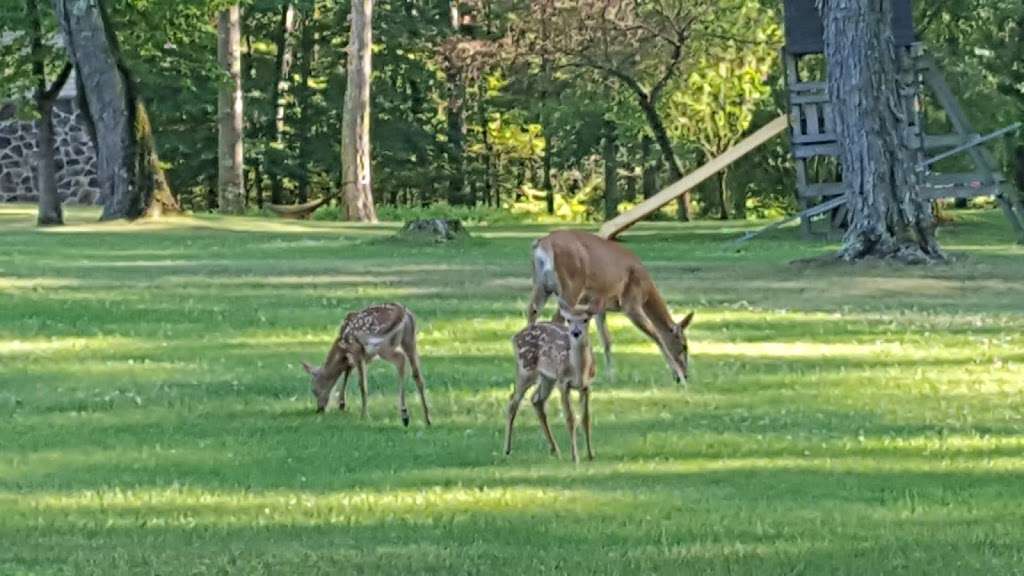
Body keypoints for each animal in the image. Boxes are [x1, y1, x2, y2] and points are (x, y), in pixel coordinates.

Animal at [303, 303, 432, 424]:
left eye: (314, 389)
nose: (319, 409)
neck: (341, 348)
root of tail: (404, 313)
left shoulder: (356, 349)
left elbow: (362, 384)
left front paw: (364, 415)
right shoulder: (363, 357)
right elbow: (348, 370)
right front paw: (342, 404)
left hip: (382, 343)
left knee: (400, 359)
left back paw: (405, 415)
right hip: (409, 340)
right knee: (417, 374)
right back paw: (427, 418)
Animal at [501, 315, 593, 463]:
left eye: (586, 320)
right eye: (568, 320)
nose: (575, 333)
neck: (579, 372)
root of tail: (515, 337)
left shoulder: (587, 386)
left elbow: (586, 419)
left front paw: (590, 455)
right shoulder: (563, 383)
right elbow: (570, 419)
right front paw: (575, 457)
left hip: (547, 378)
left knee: (536, 399)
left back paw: (555, 450)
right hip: (526, 370)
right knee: (513, 401)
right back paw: (507, 450)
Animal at [528, 229, 696, 385]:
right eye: (684, 346)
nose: (686, 374)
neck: (646, 291)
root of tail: (544, 243)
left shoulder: (599, 306)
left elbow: (606, 339)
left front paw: (610, 376)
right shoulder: (631, 303)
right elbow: (656, 335)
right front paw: (679, 376)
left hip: (541, 284)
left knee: (533, 311)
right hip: (570, 286)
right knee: (556, 319)